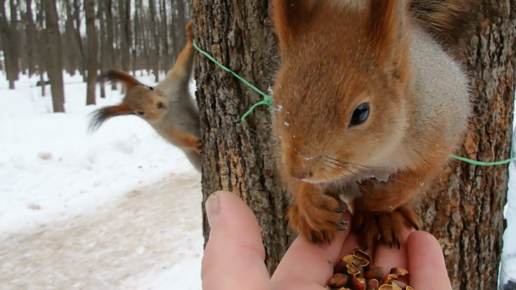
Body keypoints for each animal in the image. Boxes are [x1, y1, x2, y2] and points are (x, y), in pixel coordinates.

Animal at [88, 22, 202, 172]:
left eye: (150, 88)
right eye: (139, 113)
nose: (159, 104)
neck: (169, 108)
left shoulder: (173, 84)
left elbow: (182, 64)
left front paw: (189, 34)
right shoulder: (162, 127)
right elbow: (178, 138)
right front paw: (194, 143)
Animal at [270, 0, 476, 249]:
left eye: (361, 113)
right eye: (277, 96)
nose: (300, 170)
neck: (374, 156)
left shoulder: (439, 128)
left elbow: (419, 177)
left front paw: (382, 198)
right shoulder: (280, 142)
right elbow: (291, 178)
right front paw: (310, 203)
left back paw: (385, 218)